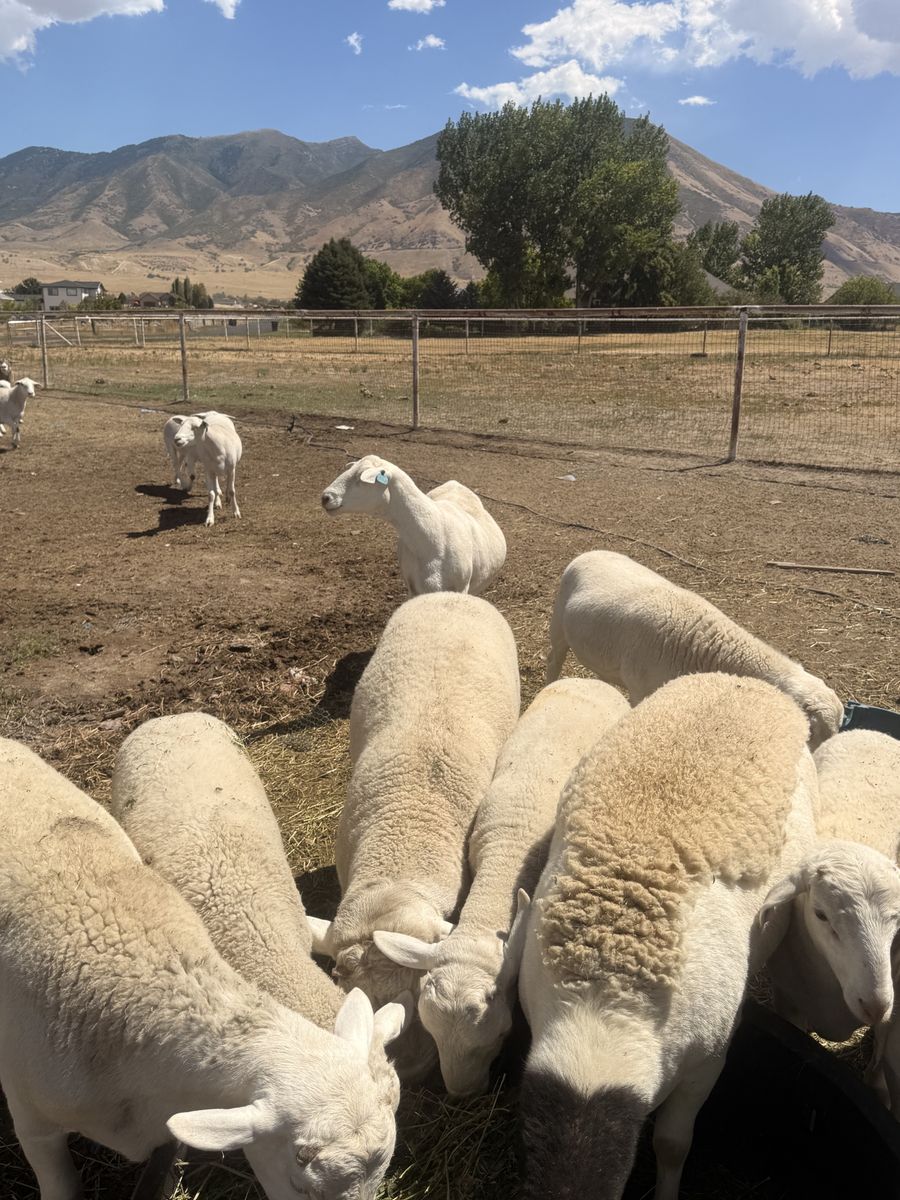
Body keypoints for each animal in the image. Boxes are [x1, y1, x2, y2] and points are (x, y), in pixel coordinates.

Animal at [547, 549, 843, 748]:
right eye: (814, 733)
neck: (702, 644)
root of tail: (591, 552)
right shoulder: (640, 691)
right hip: (559, 625)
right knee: (554, 659)